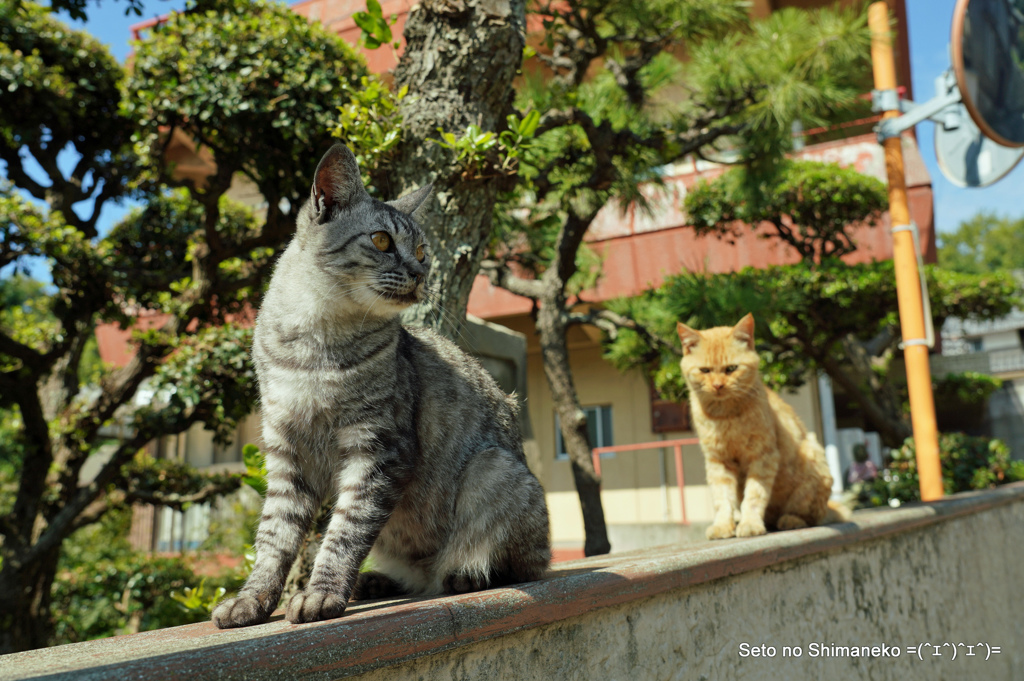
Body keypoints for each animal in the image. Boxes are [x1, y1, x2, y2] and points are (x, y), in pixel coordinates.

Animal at [212, 143, 552, 626]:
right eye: (381, 241)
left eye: (423, 250)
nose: (420, 273)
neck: (315, 345)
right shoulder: (286, 452)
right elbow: (274, 539)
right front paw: (252, 598)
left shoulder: (378, 448)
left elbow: (344, 531)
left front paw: (322, 595)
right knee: (417, 577)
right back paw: (377, 582)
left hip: (493, 470)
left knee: (516, 564)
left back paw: (464, 574)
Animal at [675, 311, 843, 540]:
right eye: (705, 370)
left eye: (731, 369)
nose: (718, 385)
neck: (725, 416)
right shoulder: (718, 461)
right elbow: (722, 499)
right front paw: (723, 526)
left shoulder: (763, 456)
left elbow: (754, 495)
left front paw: (750, 524)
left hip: (814, 460)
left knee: (810, 516)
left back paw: (790, 520)